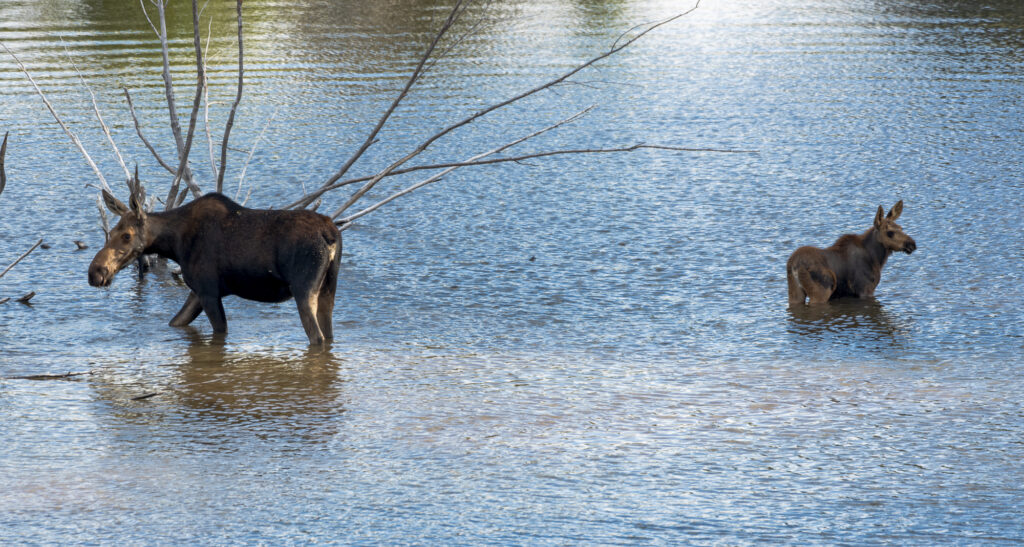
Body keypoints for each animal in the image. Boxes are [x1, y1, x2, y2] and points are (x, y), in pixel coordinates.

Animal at [90, 178, 342, 346]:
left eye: (127, 236)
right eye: (110, 232)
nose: (95, 272)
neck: (174, 245)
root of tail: (330, 234)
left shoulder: (208, 291)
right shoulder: (197, 292)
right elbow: (176, 322)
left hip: (303, 289)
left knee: (317, 338)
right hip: (328, 289)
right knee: (328, 333)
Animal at [786, 201, 917, 307]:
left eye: (901, 228)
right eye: (890, 232)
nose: (912, 244)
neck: (876, 259)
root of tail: (794, 265)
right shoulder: (865, 290)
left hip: (795, 292)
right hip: (820, 292)